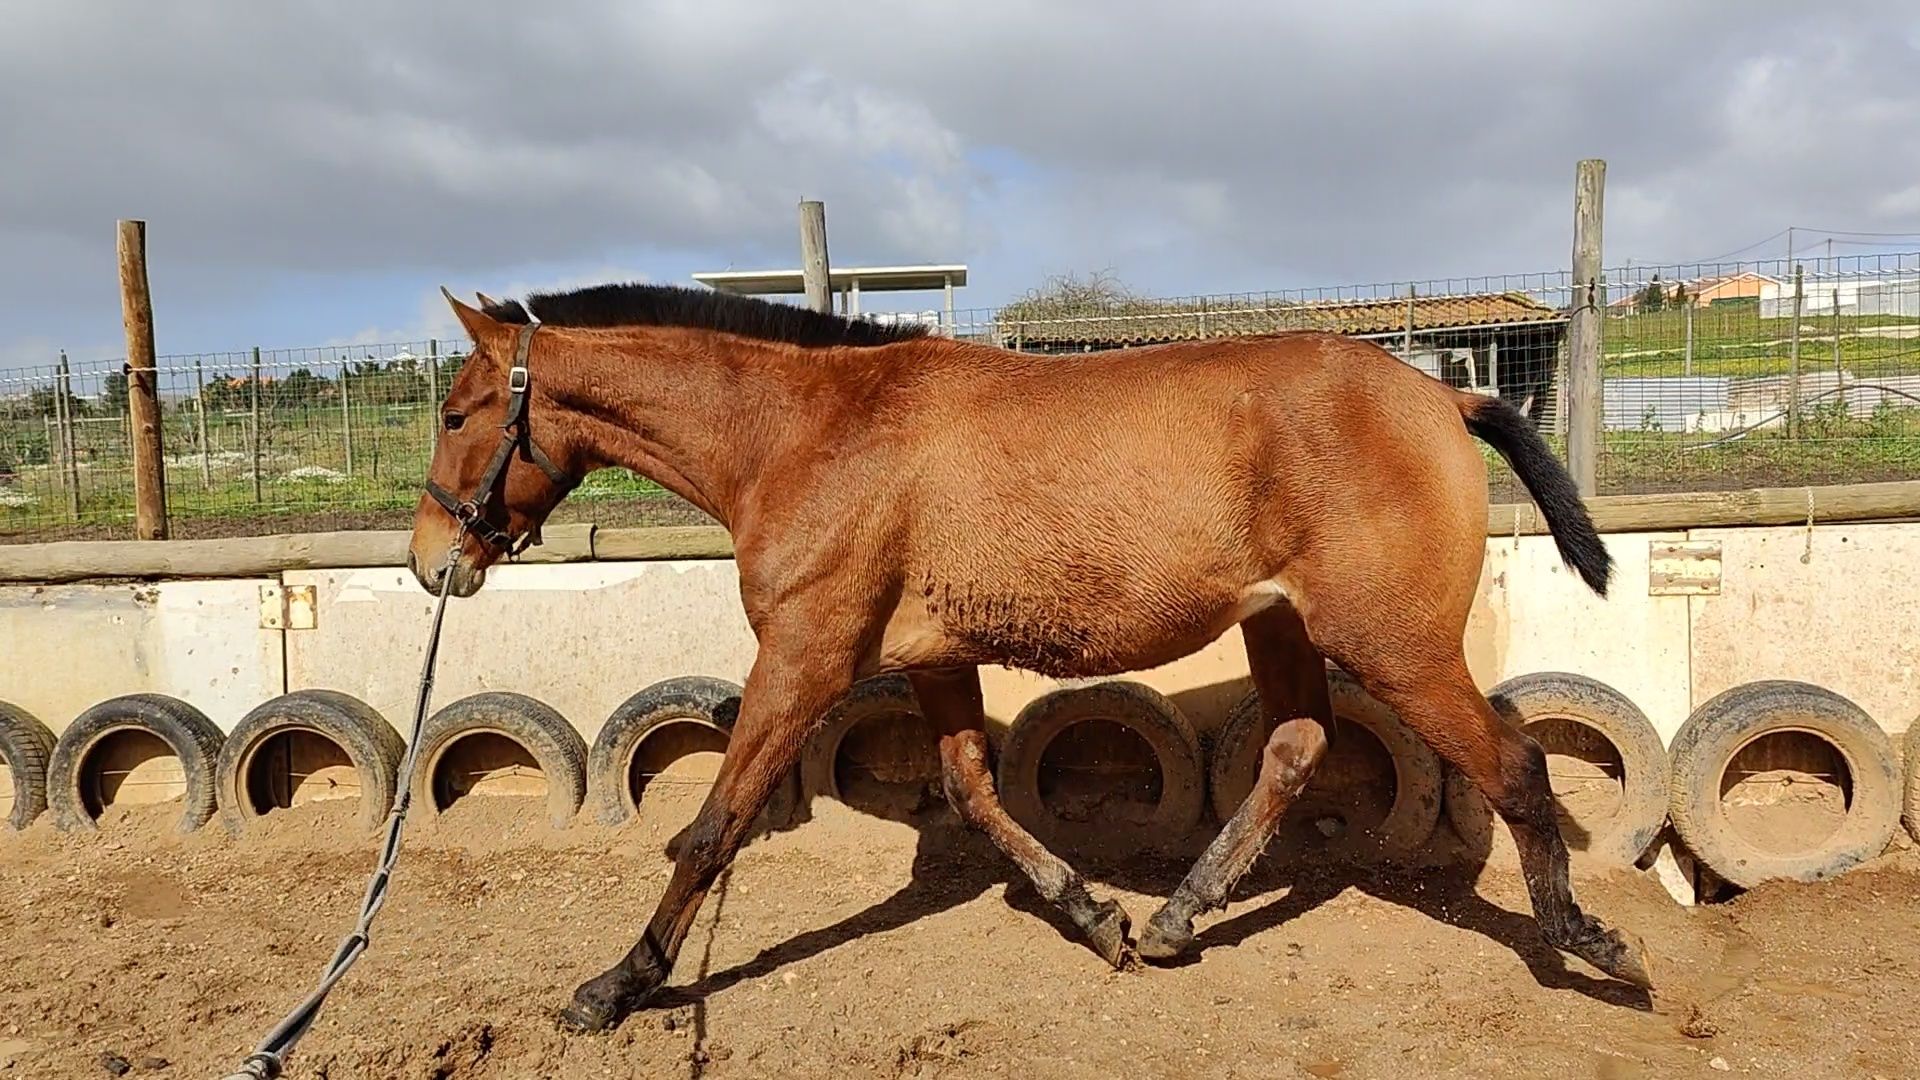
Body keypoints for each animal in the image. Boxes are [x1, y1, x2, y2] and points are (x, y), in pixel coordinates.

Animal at [405, 282, 1651, 1030]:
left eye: (460, 412)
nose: (430, 563)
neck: (811, 433)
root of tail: (1445, 394)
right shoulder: (932, 657)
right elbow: (970, 788)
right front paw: (1092, 914)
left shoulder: (805, 654)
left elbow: (714, 825)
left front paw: (614, 985)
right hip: (1286, 625)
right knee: (1297, 747)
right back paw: (1173, 919)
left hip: (1393, 643)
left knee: (1517, 765)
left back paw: (1589, 942)